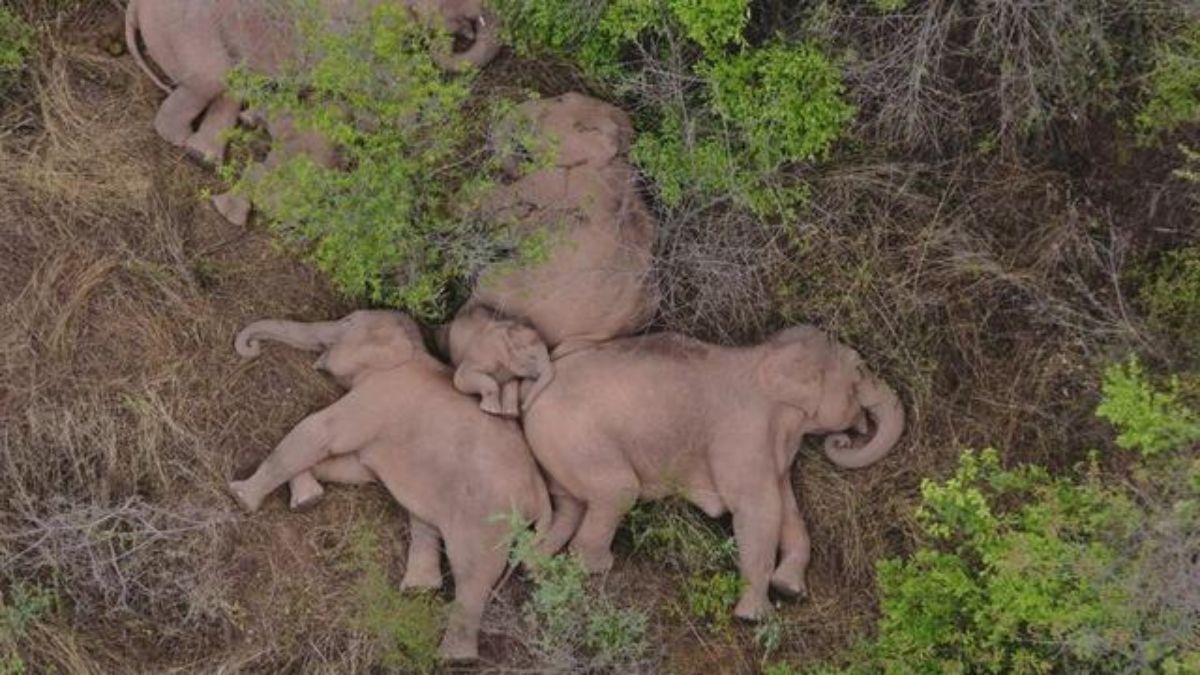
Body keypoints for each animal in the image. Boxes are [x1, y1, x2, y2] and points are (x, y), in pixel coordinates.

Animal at [125, 0, 501, 222]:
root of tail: (134, 6)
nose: (467, 30)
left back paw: (206, 157)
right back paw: (187, 146)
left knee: (231, 86)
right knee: (212, 79)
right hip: (189, 31)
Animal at [227, 310, 550, 661]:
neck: (410, 349)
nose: (251, 348)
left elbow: (319, 432)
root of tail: (541, 495)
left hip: (489, 516)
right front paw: (307, 499)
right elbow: (353, 467)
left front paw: (240, 496)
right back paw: (420, 590)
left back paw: (454, 657)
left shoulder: (378, 396)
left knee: (473, 572)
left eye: (346, 323)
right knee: (426, 520)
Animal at [522, 325, 905, 621]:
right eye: (860, 369)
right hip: (576, 438)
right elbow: (758, 510)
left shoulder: (773, 451)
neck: (767, 355)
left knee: (569, 508)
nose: (843, 439)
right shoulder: (743, 436)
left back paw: (538, 571)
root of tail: (534, 393)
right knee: (618, 492)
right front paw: (754, 617)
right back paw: (595, 568)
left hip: (558, 451)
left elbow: (788, 509)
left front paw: (790, 589)